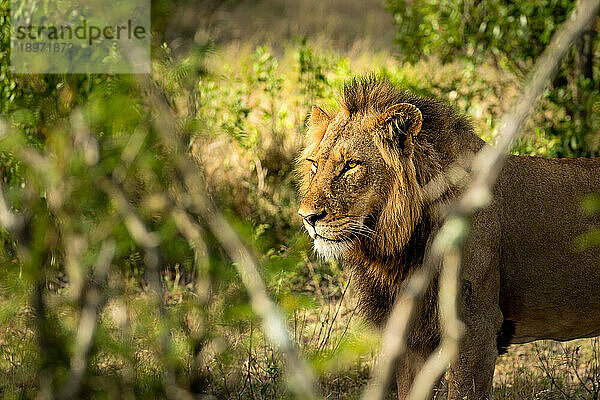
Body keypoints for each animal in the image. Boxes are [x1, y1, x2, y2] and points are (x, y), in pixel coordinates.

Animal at [296, 76, 600, 398]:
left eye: (351, 165)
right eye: (314, 164)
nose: (306, 217)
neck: (401, 245)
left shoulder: (476, 327)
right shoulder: (414, 336)